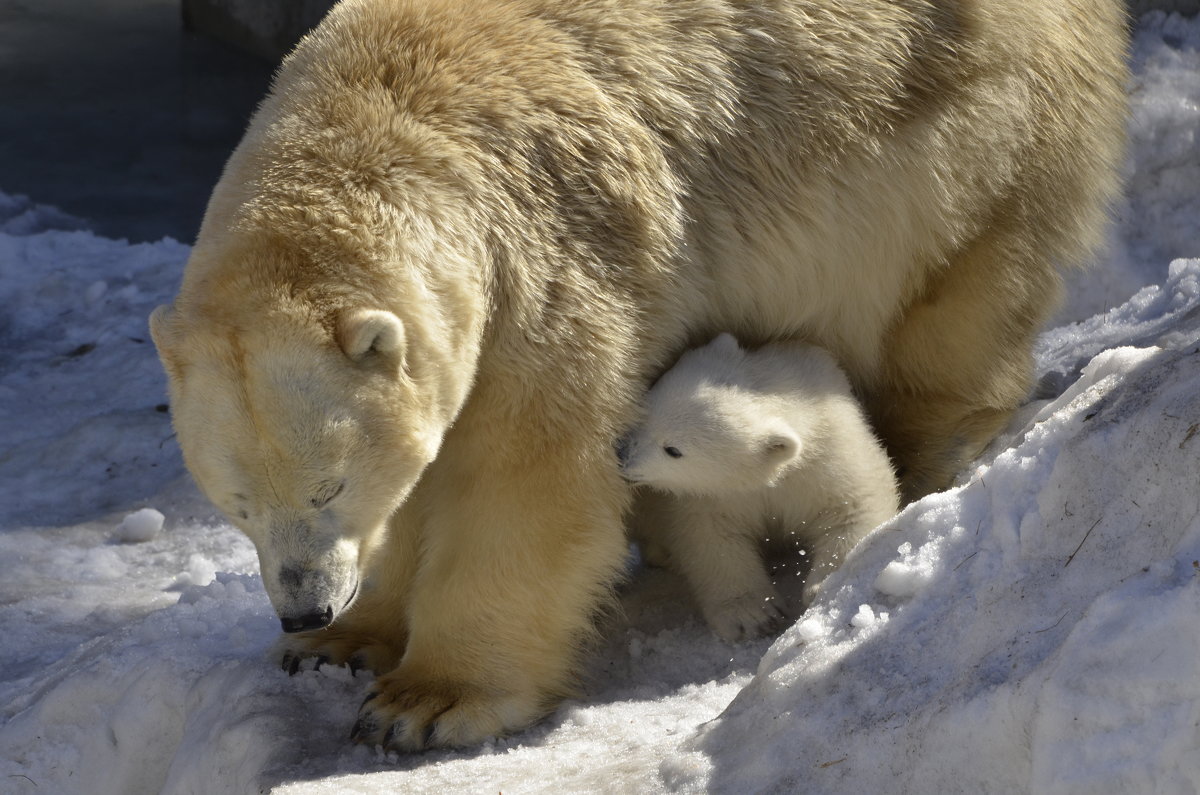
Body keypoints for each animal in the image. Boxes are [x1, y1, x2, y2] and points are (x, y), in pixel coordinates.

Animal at [150, 0, 1123, 749]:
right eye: (236, 504)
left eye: (331, 484)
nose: (301, 608)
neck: (393, 107)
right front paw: (344, 643)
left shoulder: (548, 254)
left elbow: (526, 476)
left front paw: (425, 702)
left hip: (963, 138)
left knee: (955, 299)